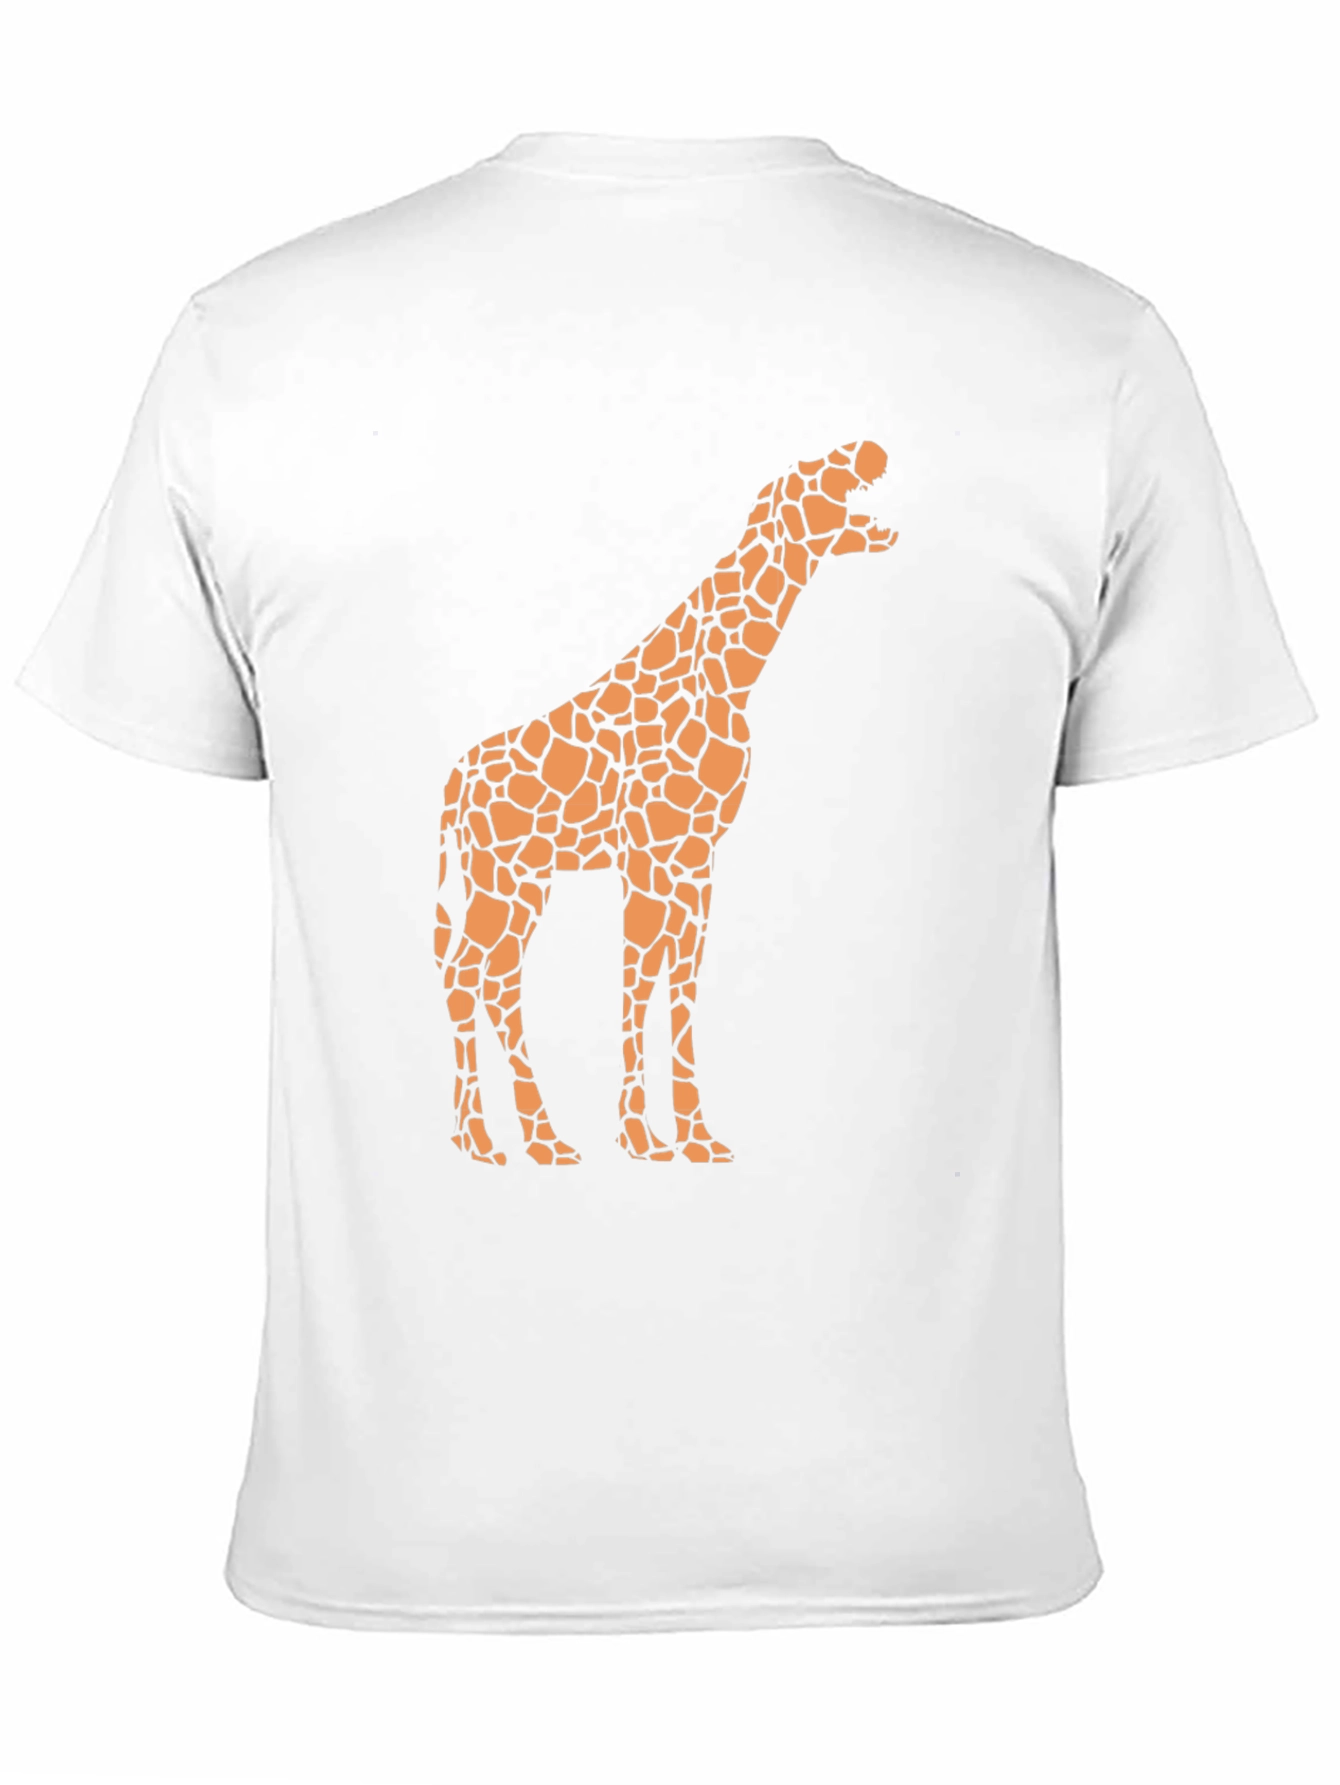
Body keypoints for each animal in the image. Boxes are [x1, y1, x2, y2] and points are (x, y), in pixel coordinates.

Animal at [434, 439, 897, 1166]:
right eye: (811, 473)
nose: (869, 449)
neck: (731, 679)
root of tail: (454, 786)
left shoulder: (696, 857)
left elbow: (676, 984)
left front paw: (693, 1137)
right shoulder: (647, 854)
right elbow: (637, 979)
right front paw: (639, 1137)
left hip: (527, 879)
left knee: (493, 980)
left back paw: (530, 1140)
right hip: (500, 876)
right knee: (469, 977)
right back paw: (488, 1140)